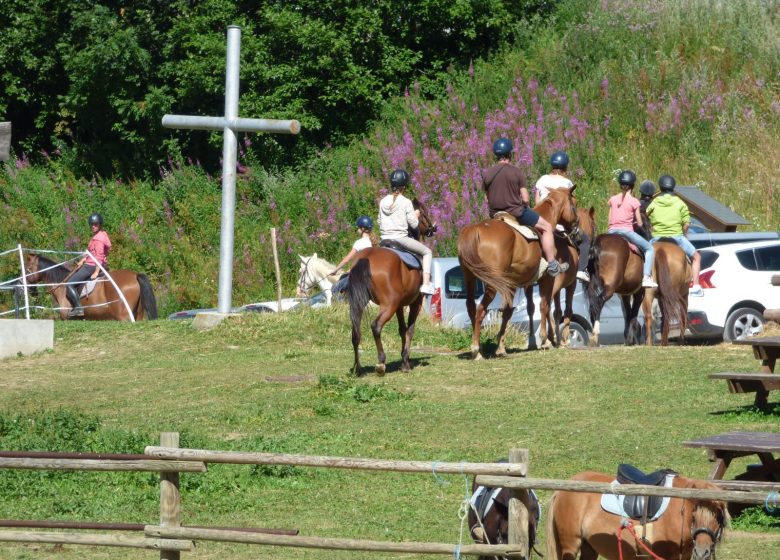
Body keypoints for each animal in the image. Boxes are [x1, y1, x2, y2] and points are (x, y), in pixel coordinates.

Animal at [346, 198, 436, 376]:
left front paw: (404, 359)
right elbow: (410, 329)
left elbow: (402, 329)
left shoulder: (400, 306)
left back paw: (357, 368)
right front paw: (406, 361)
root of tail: (366, 258)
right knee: (376, 326)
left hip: (361, 304)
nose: (432, 228)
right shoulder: (415, 302)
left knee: (355, 332)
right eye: (423, 212)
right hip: (389, 305)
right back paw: (381, 363)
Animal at [458, 186, 580, 356]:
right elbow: (544, 305)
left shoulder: (514, 284)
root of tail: (476, 229)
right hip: (492, 284)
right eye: (574, 205)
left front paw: (501, 347)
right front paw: (545, 340)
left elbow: (509, 311)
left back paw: (479, 347)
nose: (576, 228)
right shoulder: (547, 279)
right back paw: (476, 349)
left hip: (469, 277)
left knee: (471, 306)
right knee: (481, 309)